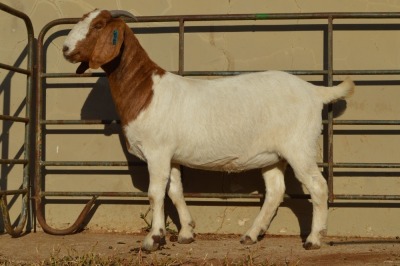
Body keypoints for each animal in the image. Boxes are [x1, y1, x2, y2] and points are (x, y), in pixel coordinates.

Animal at [62, 9, 354, 251]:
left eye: (98, 25)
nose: (65, 49)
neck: (146, 89)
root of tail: (314, 91)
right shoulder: (172, 156)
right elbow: (175, 191)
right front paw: (186, 233)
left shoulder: (157, 151)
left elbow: (155, 193)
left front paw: (153, 239)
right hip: (273, 155)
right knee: (275, 191)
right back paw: (251, 235)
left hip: (299, 146)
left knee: (318, 186)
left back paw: (314, 239)